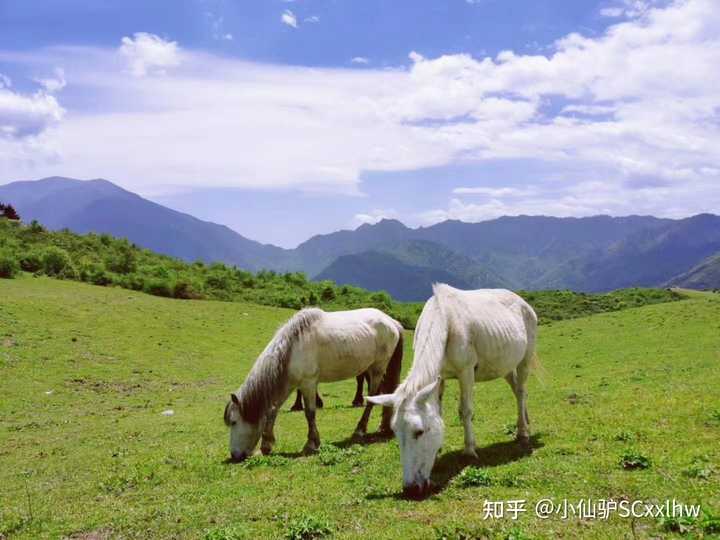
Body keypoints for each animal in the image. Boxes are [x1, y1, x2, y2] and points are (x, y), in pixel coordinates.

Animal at [224, 308, 402, 460]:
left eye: (234, 422)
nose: (234, 455)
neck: (291, 349)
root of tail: (391, 321)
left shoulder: (308, 383)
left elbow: (309, 413)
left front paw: (311, 444)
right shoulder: (291, 384)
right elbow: (272, 410)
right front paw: (266, 445)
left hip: (377, 369)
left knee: (372, 398)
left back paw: (360, 430)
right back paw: (384, 427)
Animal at [368, 282, 536, 498]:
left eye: (419, 432)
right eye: (396, 432)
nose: (410, 489)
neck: (445, 322)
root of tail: (523, 302)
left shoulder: (466, 372)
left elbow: (466, 411)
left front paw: (469, 450)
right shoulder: (439, 377)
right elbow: (438, 412)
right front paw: (439, 448)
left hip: (525, 358)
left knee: (521, 391)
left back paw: (523, 433)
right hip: (504, 365)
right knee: (516, 390)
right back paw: (526, 422)